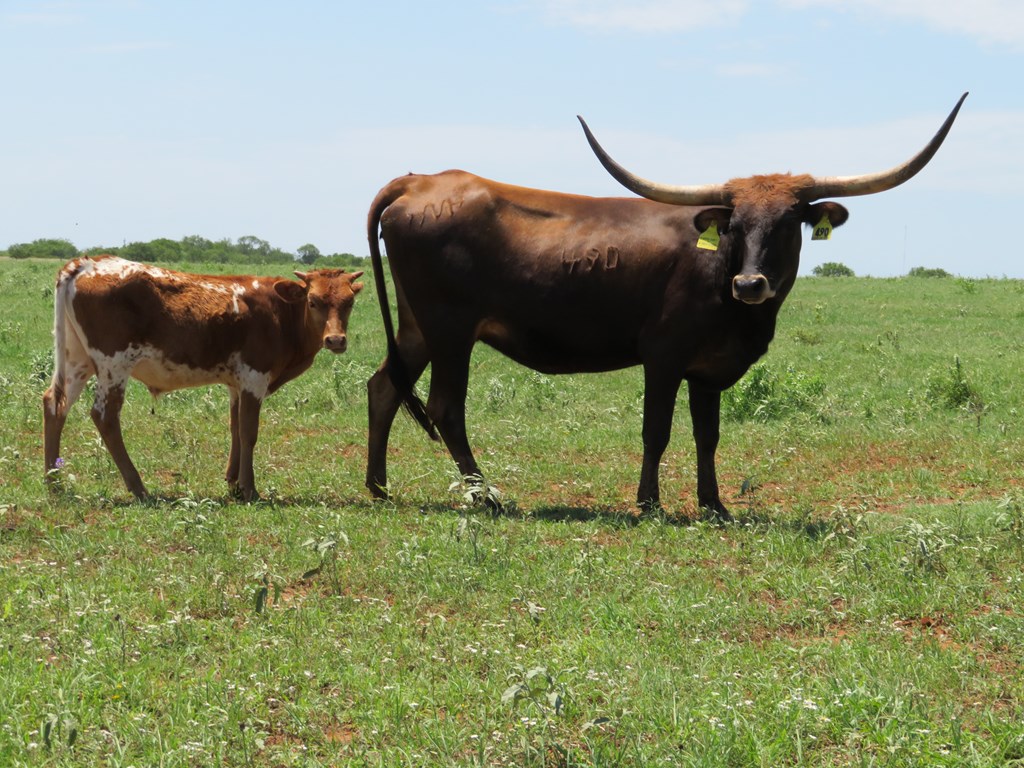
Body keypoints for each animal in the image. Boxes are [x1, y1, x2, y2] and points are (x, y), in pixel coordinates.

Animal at [42, 256, 364, 501]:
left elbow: (235, 429)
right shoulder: (255, 377)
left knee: (54, 405)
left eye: (349, 302)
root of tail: (86, 263)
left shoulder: (237, 385)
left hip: (76, 360)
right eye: (313, 301)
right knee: (105, 416)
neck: (280, 314)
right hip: (114, 364)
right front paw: (249, 489)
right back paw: (138, 487)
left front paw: (233, 483)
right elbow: (249, 432)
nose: (336, 340)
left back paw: (53, 481)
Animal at [364, 94, 966, 520]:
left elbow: (708, 436)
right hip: (450, 329)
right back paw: (483, 495)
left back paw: (379, 487)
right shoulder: (663, 356)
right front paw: (649, 503)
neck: (726, 289)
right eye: (736, 225)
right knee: (446, 407)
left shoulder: (708, 369)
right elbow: (656, 430)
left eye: (787, 223)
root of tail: (419, 182)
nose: (750, 283)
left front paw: (714, 505)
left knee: (383, 388)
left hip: (418, 327)